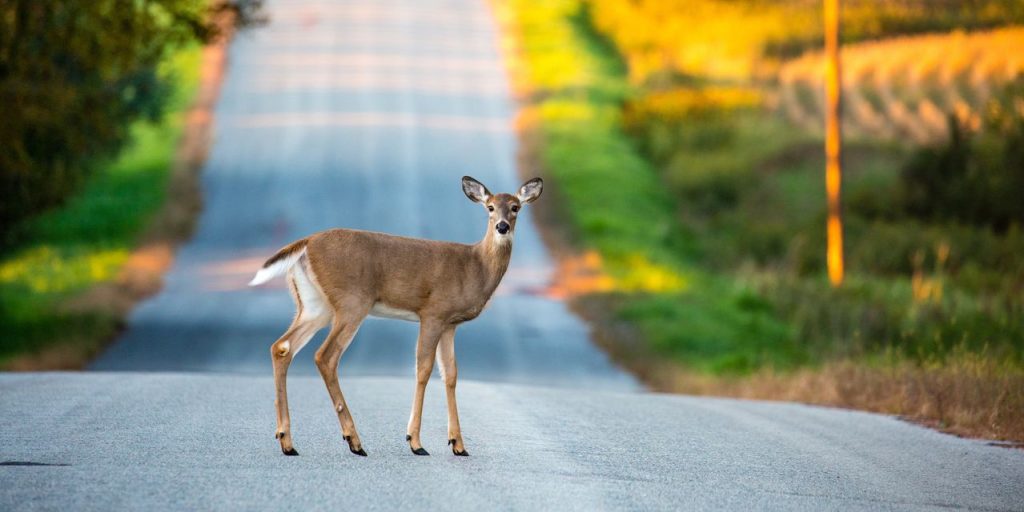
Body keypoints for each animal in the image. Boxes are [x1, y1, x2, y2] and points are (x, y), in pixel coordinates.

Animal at [248, 176, 543, 457]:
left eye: (515, 207)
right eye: (490, 207)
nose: (502, 227)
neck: (475, 266)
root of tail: (306, 243)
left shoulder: (451, 324)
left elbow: (451, 374)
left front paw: (458, 445)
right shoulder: (433, 312)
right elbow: (423, 370)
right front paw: (416, 442)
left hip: (314, 305)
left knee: (282, 347)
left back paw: (287, 442)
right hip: (352, 302)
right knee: (325, 356)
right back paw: (354, 441)